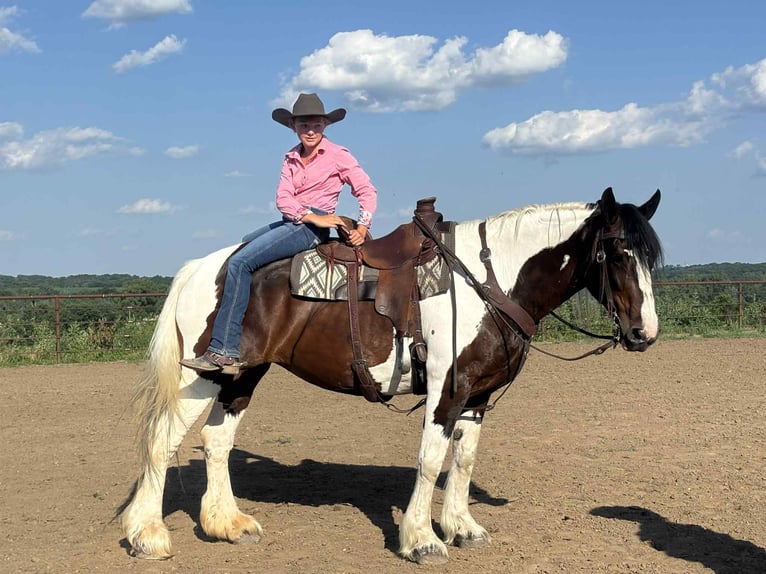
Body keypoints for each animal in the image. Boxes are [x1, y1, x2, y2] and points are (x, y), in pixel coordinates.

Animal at [120, 187, 663, 565]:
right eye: (618, 254)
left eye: (651, 258)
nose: (645, 333)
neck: (489, 282)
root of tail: (204, 267)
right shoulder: (447, 391)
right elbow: (430, 461)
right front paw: (422, 540)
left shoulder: (477, 396)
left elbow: (463, 461)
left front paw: (463, 528)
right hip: (203, 378)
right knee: (163, 441)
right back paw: (148, 536)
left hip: (242, 375)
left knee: (216, 442)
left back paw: (226, 524)